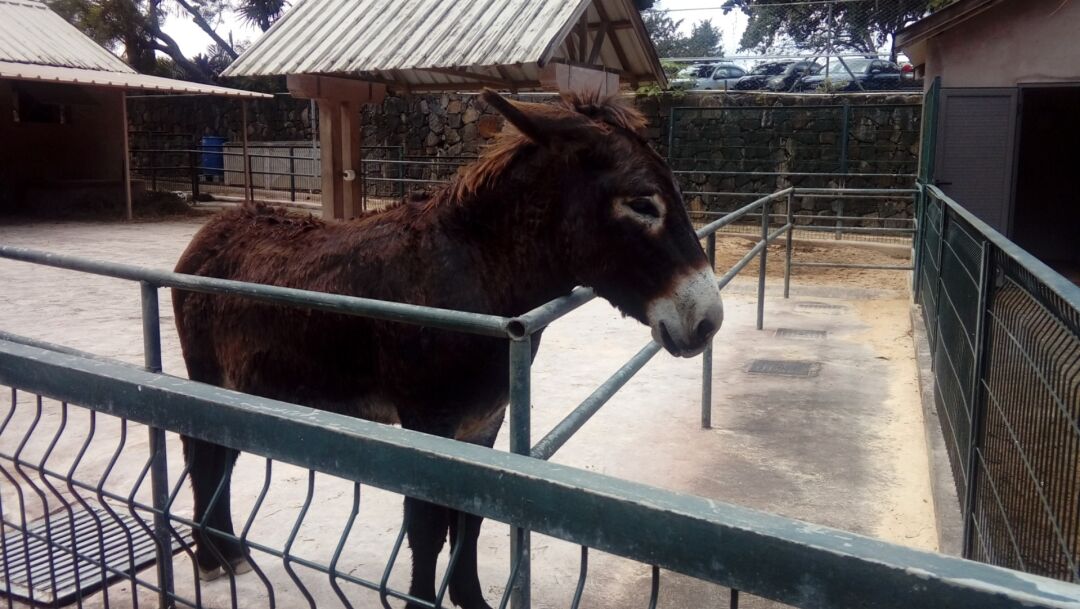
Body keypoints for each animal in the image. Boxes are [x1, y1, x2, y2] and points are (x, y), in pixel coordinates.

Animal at [172, 90, 723, 609]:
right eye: (642, 204)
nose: (709, 322)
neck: (479, 274)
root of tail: (212, 230)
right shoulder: (428, 423)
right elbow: (427, 526)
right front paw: (422, 600)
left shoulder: (482, 423)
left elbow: (470, 519)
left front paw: (471, 598)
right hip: (210, 375)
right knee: (203, 456)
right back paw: (211, 557)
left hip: (241, 390)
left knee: (220, 453)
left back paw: (227, 550)